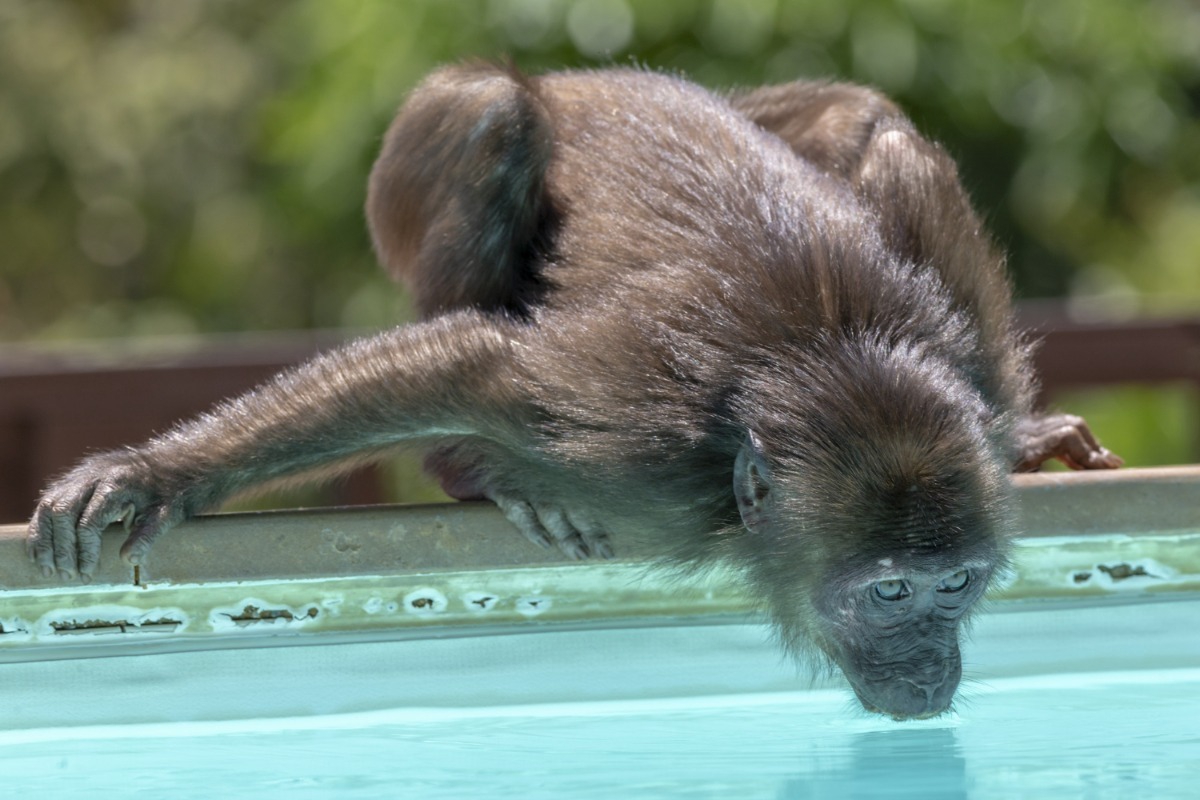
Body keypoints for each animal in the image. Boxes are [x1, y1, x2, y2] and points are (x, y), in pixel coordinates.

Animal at [23, 65, 1118, 724]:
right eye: (889, 593)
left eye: (954, 586)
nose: (930, 665)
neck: (825, 364)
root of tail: (580, 75)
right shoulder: (645, 455)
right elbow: (468, 367)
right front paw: (155, 470)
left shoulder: (962, 393)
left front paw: (1025, 438)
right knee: (491, 118)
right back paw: (469, 470)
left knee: (871, 128)